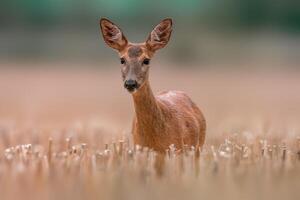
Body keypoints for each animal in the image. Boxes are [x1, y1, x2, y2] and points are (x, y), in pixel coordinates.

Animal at [99, 18, 205, 167]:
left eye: (146, 60)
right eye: (122, 59)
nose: (130, 83)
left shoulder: (177, 149)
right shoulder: (141, 149)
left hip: (197, 148)